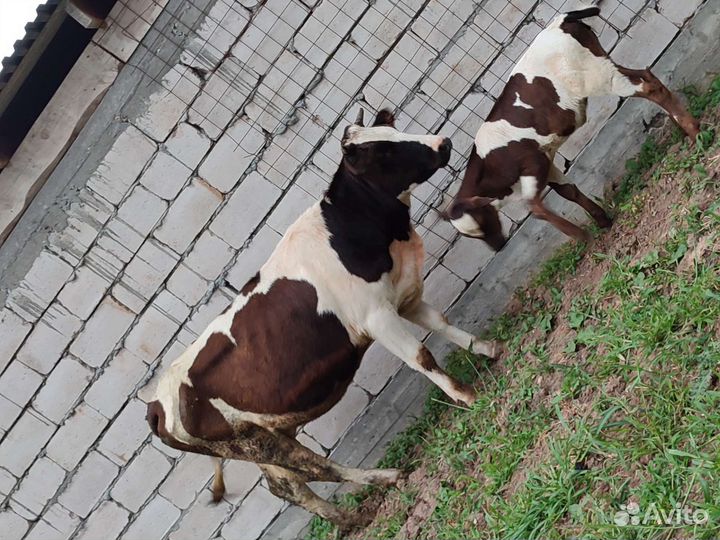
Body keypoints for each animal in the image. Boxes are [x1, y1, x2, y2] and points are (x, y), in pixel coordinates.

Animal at [146, 109, 499, 527]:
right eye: (382, 151)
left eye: (392, 128)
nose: (442, 143)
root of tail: (155, 403)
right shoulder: (376, 316)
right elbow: (422, 357)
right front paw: (468, 396)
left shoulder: (402, 295)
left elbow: (441, 323)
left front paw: (488, 349)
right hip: (253, 442)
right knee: (313, 468)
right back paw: (385, 478)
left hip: (262, 436)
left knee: (287, 485)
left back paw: (347, 518)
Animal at [444, 5, 701, 251]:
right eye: (472, 235)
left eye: (481, 221)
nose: (498, 246)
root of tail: (562, 20)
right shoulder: (547, 163)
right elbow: (567, 191)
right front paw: (602, 220)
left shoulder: (534, 163)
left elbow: (535, 207)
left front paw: (583, 237)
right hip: (604, 65)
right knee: (647, 75)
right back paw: (686, 128)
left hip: (599, 76)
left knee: (647, 87)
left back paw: (693, 132)